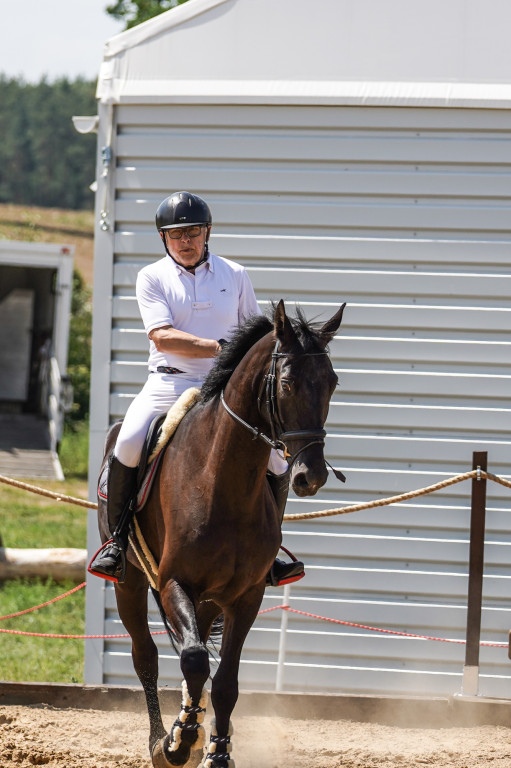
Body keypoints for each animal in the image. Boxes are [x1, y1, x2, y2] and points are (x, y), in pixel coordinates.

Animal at [97, 300, 344, 768]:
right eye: (287, 383)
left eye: (332, 383)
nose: (312, 476)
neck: (222, 481)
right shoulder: (173, 582)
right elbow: (194, 659)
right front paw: (179, 743)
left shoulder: (246, 595)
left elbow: (225, 681)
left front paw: (217, 752)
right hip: (131, 582)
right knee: (147, 656)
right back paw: (163, 739)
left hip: (209, 601)